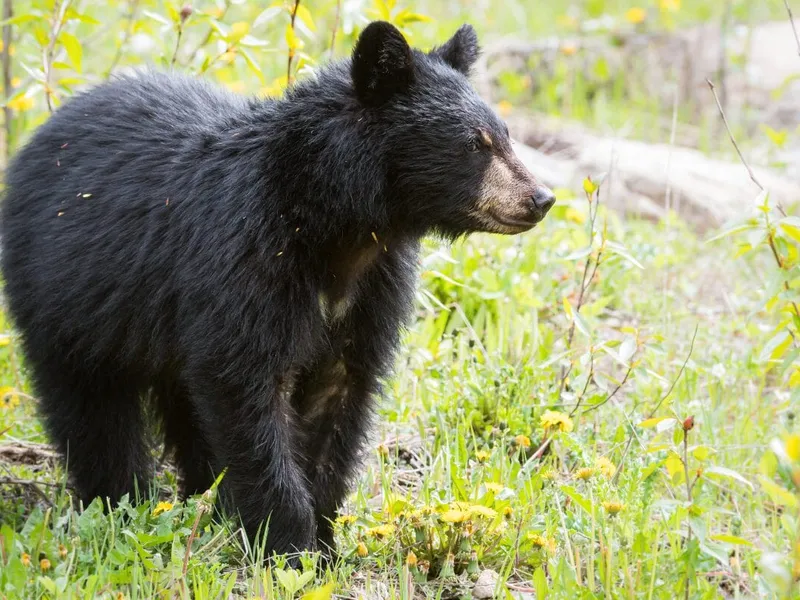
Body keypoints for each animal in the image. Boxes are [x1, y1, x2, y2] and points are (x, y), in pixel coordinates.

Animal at [1, 22, 556, 556]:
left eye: (505, 134)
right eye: (475, 143)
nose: (541, 198)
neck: (337, 227)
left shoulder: (373, 288)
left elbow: (338, 395)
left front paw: (323, 544)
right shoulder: (244, 257)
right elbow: (244, 386)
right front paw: (286, 544)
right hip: (64, 295)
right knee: (92, 408)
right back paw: (121, 501)